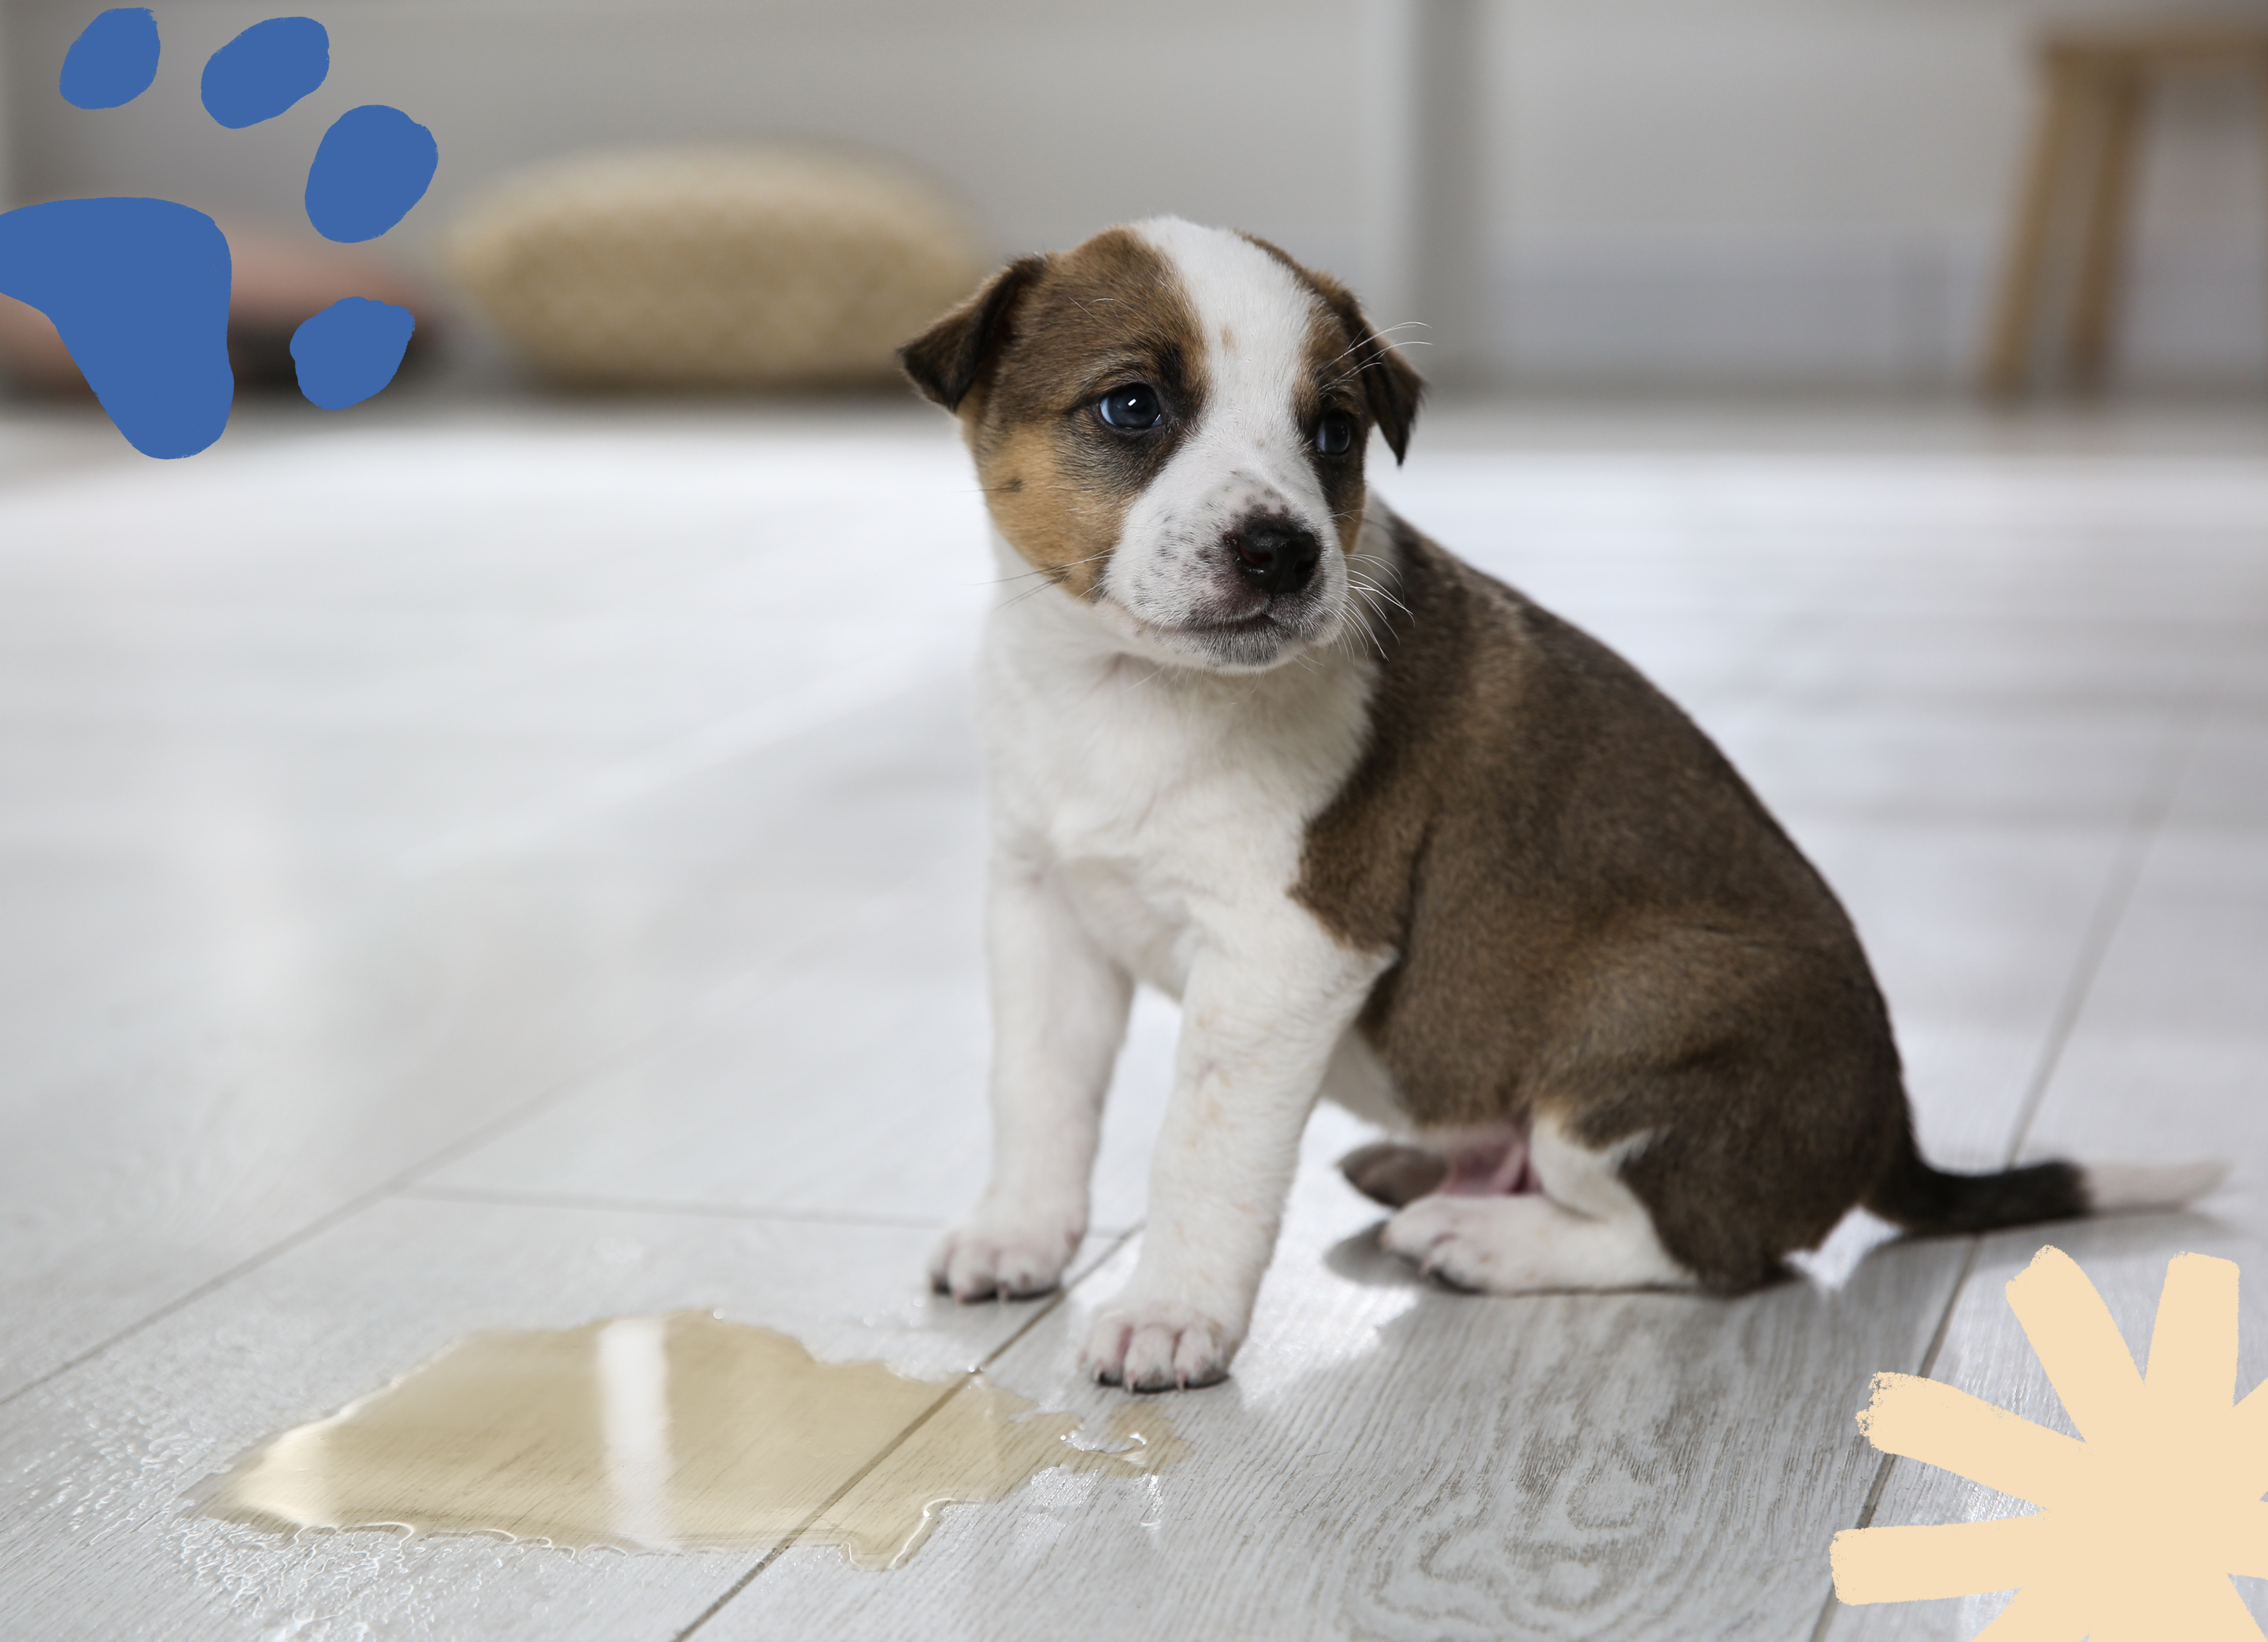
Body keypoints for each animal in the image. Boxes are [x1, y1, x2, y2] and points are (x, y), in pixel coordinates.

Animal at [894, 218, 2223, 1388]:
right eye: (1132, 406)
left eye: (1333, 430)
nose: (1285, 551)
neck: (1122, 690)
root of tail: (1890, 1127)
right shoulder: (1045, 908)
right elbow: (1039, 1093)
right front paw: (1019, 1232)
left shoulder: (1284, 956)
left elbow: (1201, 1153)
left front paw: (1173, 1313)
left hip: (1635, 1036)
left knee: (1710, 1251)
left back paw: (1484, 1238)